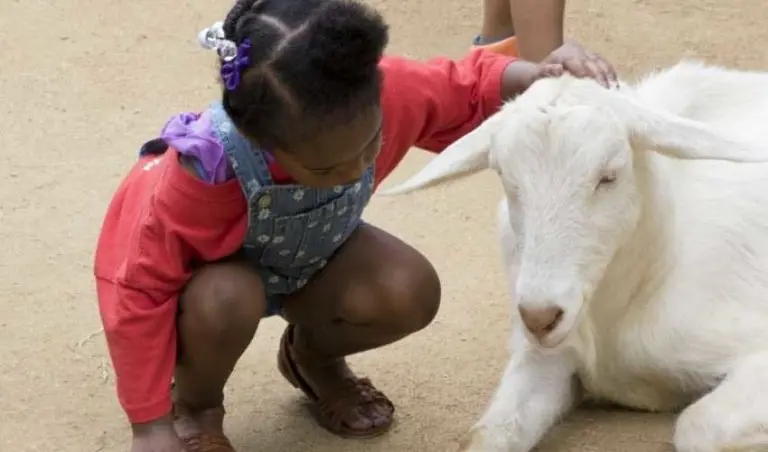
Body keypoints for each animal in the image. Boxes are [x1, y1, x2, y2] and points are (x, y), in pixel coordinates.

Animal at [381, 60, 768, 452]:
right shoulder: (547, 357)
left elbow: (699, 426)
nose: (540, 318)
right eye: (504, 175)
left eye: (608, 176)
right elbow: (491, 432)